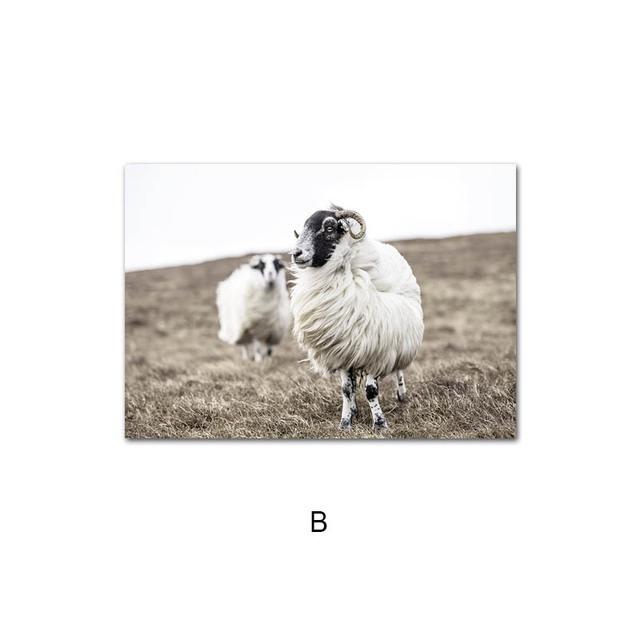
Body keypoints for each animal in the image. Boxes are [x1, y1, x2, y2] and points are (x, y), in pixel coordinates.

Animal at [289, 205, 424, 430]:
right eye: (304, 226)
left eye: (329, 227)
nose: (295, 253)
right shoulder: (343, 349)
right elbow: (346, 389)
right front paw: (345, 422)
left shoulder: (376, 350)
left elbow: (371, 390)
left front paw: (379, 423)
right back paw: (354, 409)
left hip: (400, 338)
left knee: (399, 369)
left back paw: (402, 395)